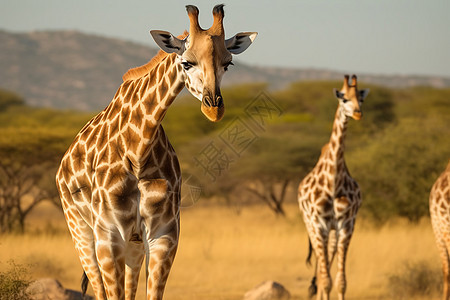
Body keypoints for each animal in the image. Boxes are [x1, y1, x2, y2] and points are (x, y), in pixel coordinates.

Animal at [54, 5, 255, 300]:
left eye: (228, 63)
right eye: (186, 63)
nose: (213, 108)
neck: (138, 151)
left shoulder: (164, 234)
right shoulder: (109, 235)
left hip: (134, 244)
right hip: (81, 231)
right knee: (98, 287)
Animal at [298, 75, 368, 300]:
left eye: (360, 99)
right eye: (343, 98)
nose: (358, 113)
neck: (334, 182)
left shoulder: (346, 225)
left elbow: (341, 282)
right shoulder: (319, 224)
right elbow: (327, 280)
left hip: (333, 232)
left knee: (326, 267)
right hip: (312, 226)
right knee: (322, 269)